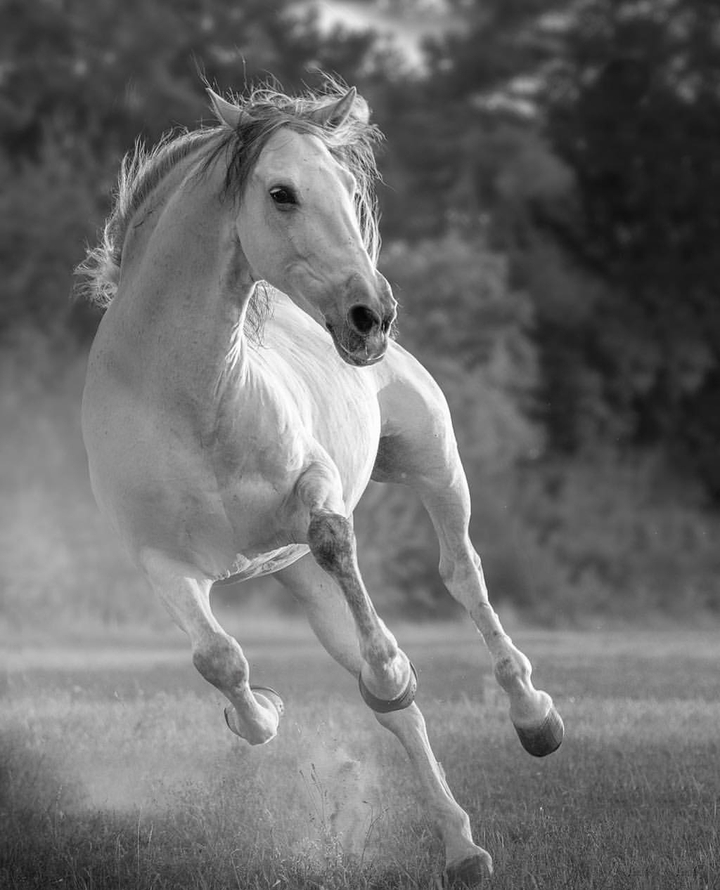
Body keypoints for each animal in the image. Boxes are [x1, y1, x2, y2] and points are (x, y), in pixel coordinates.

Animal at [79, 81, 563, 887]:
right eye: (282, 193)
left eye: (345, 188)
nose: (371, 317)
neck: (188, 400)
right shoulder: (162, 561)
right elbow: (219, 659)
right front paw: (264, 712)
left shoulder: (317, 488)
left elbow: (338, 538)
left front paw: (390, 669)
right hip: (298, 578)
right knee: (400, 714)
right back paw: (461, 848)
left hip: (433, 460)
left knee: (462, 574)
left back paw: (534, 720)